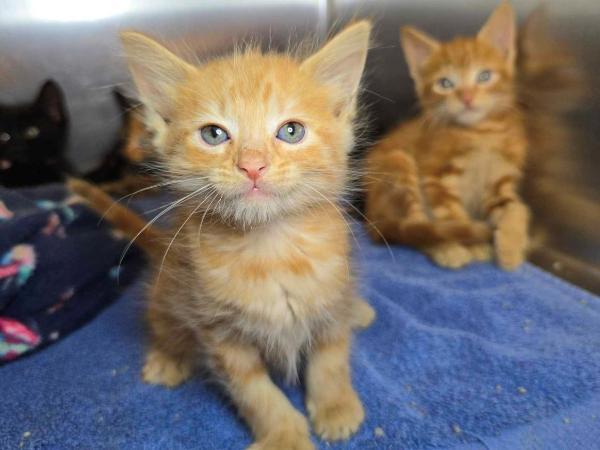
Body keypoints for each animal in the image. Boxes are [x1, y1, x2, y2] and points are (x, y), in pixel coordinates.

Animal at [72, 22, 372, 450]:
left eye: (291, 131)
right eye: (213, 135)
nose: (252, 166)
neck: (270, 250)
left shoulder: (331, 296)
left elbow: (331, 356)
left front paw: (335, 406)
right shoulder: (218, 332)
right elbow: (254, 391)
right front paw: (283, 434)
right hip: (170, 288)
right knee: (161, 319)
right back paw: (168, 357)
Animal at [364, 1, 528, 268]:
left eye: (484, 76)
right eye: (445, 83)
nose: (467, 97)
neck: (482, 134)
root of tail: (372, 215)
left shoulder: (500, 180)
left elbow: (516, 207)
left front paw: (511, 247)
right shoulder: (436, 177)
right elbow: (453, 217)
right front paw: (472, 244)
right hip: (399, 164)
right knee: (416, 226)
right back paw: (446, 249)